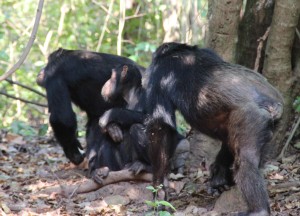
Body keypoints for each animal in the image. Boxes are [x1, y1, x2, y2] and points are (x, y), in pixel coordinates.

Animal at [145, 42, 284, 216]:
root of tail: (272, 103)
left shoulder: (159, 74)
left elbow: (160, 127)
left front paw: (159, 193)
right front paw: (219, 178)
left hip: (251, 118)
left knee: (246, 161)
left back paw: (258, 210)